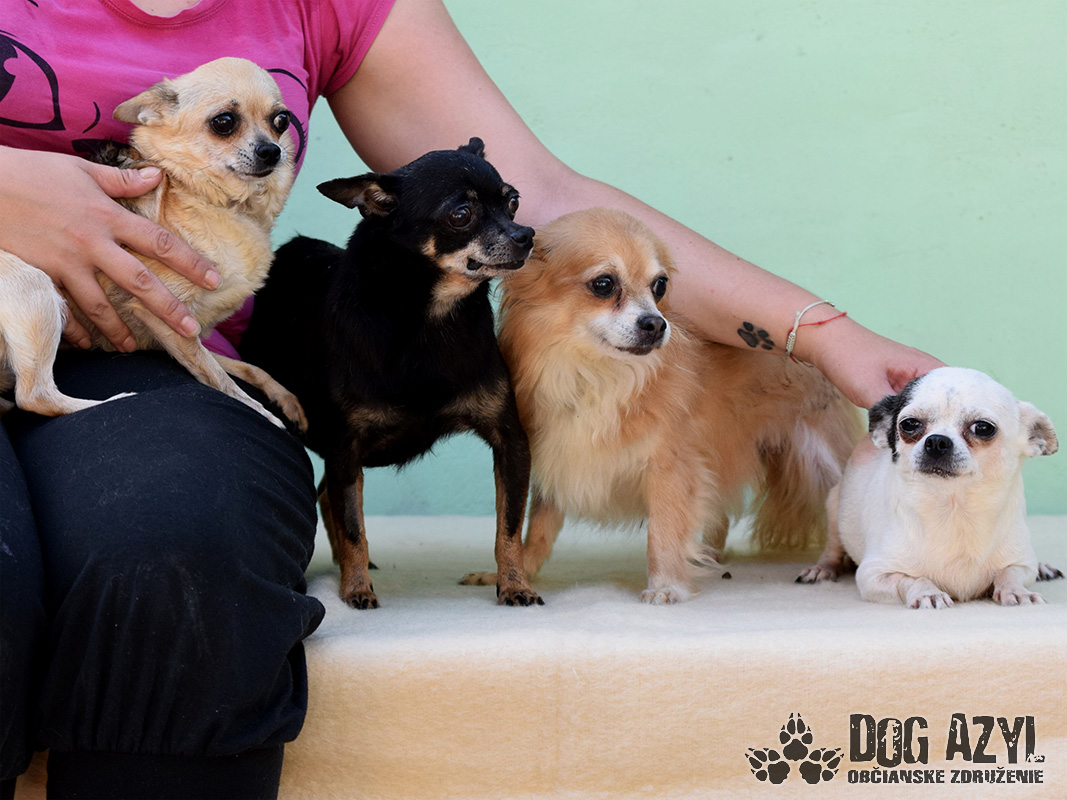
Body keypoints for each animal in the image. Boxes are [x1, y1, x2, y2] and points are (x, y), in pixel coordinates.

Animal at [0, 57, 303, 429]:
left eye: (281, 121)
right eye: (224, 122)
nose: (272, 151)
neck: (226, 205)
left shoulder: (179, 330)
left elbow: (244, 367)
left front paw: (283, 396)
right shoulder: (164, 316)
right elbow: (221, 380)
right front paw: (264, 415)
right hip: (34, 289)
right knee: (34, 396)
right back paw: (111, 400)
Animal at [240, 137, 542, 608]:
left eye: (513, 202)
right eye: (462, 214)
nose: (525, 235)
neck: (428, 322)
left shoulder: (509, 441)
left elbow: (508, 526)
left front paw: (514, 583)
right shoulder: (346, 449)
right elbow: (353, 526)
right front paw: (356, 590)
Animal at [460, 208, 863, 603]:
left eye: (660, 286)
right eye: (603, 284)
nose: (656, 323)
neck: (595, 377)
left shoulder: (671, 468)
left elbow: (664, 531)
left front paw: (666, 584)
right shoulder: (559, 459)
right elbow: (534, 529)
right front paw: (516, 574)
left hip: (820, 461)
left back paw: (824, 566)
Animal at [798, 367, 1060, 608]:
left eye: (983, 427)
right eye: (909, 424)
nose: (936, 441)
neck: (955, 510)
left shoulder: (1020, 564)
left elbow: (1009, 573)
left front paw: (1017, 591)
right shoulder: (874, 575)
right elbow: (913, 579)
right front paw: (928, 593)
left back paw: (1042, 568)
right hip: (834, 509)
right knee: (832, 549)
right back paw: (822, 569)